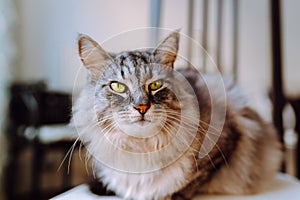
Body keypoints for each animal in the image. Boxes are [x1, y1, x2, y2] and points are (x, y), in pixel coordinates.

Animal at [71, 30, 282, 199]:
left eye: (155, 85)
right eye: (118, 87)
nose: (142, 107)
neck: (141, 149)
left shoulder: (226, 141)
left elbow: (187, 183)